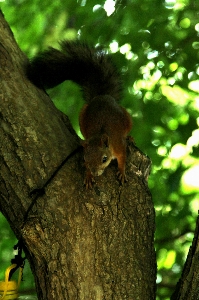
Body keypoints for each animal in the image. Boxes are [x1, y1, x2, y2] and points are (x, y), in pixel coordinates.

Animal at [26, 41, 132, 189]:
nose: (95, 172)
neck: (100, 135)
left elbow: (123, 158)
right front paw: (88, 175)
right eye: (85, 158)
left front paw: (121, 172)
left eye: (104, 159)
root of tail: (101, 96)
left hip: (126, 117)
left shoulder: (119, 146)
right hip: (82, 115)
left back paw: (130, 137)